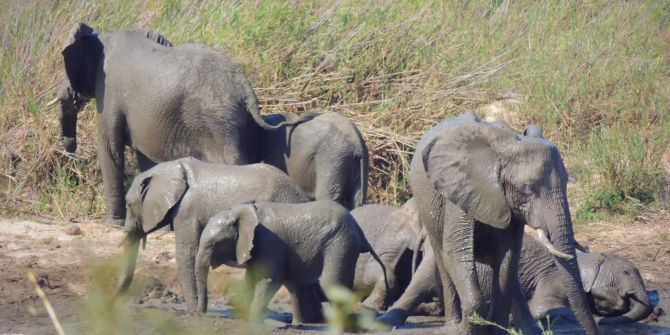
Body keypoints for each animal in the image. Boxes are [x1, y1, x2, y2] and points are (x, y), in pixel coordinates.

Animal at [50, 23, 312, 227]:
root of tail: (245, 87)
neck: (102, 35)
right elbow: (146, 159)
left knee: (233, 162)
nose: (70, 146)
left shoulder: (109, 91)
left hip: (218, 122)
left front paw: (111, 225)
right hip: (240, 122)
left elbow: (110, 148)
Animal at [119, 158, 312, 316]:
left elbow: (186, 254)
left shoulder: (186, 211)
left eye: (128, 204)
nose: (115, 299)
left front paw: (192, 313)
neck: (170, 168)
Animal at [194, 201, 388, 324]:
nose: (200, 314)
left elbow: (269, 280)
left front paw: (252, 320)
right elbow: (251, 278)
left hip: (340, 244)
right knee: (297, 284)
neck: (239, 211)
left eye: (215, 244)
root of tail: (359, 231)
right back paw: (305, 323)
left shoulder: (268, 242)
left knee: (330, 284)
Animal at [404, 112, 600, 335]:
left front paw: (495, 329)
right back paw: (453, 326)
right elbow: (456, 250)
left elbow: (508, 255)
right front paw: (468, 330)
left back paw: (526, 328)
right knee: (442, 258)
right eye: (528, 189)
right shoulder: (459, 188)